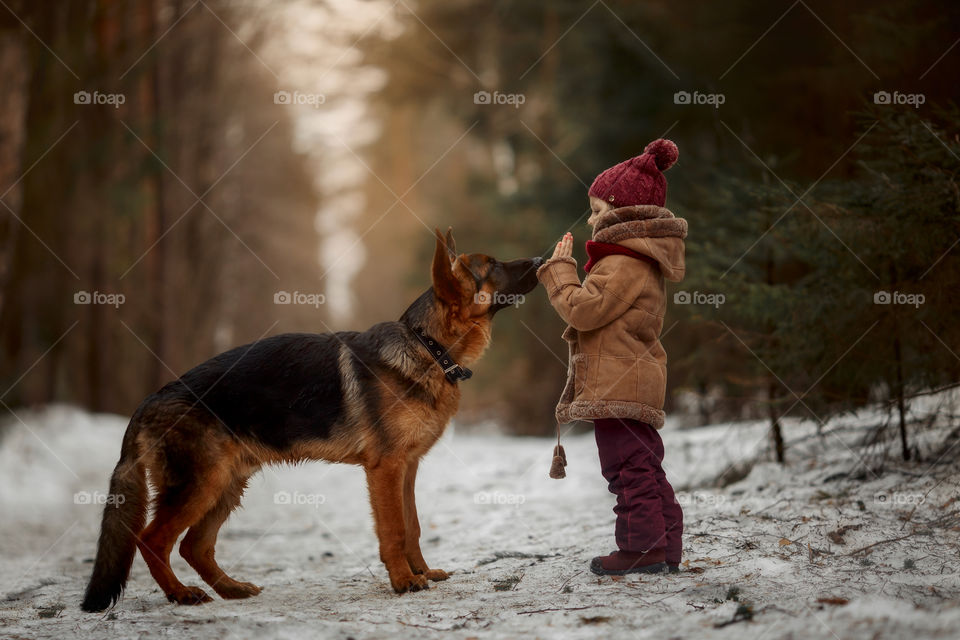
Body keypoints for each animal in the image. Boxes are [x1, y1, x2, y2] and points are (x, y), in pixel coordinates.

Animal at [79, 229, 544, 608]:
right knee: (151, 540)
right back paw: (180, 594)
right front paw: (403, 581)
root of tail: (148, 401)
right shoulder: (386, 469)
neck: (427, 346)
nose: (541, 258)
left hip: (225, 484)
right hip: (201, 485)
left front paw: (422, 572)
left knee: (194, 546)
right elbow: (394, 530)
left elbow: (412, 526)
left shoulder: (407, 468)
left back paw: (230, 589)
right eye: (492, 265)